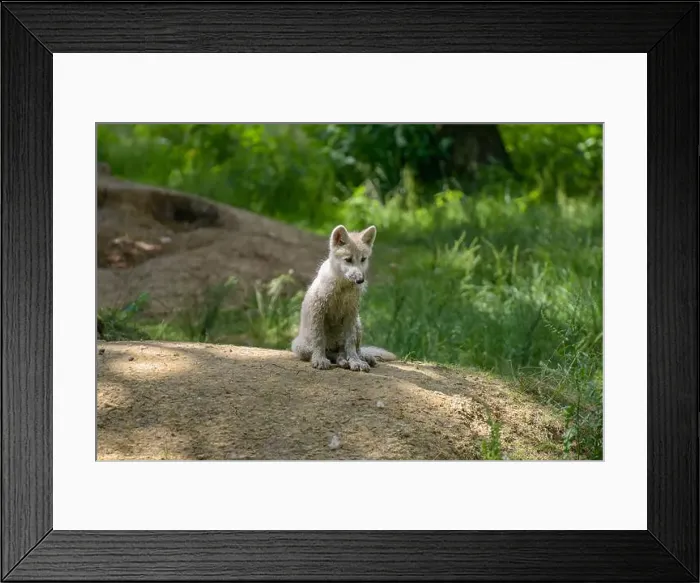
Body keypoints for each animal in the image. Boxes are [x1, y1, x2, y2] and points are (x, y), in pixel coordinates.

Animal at [291, 224, 397, 372]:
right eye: (348, 260)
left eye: (363, 259)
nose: (360, 280)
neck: (343, 287)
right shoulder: (318, 311)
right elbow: (319, 340)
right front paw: (319, 360)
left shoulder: (350, 314)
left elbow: (350, 344)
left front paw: (356, 362)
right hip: (301, 347)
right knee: (331, 353)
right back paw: (341, 361)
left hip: (358, 324)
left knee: (351, 350)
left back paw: (361, 359)